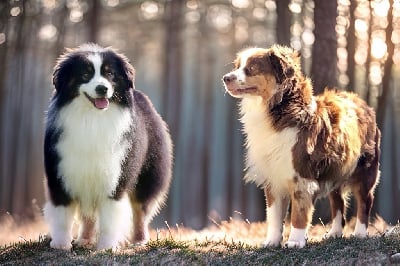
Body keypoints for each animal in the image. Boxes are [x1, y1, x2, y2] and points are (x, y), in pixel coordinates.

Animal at [43, 43, 172, 249]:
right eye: (85, 74)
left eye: (110, 73)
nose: (102, 88)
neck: (92, 118)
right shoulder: (60, 173)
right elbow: (62, 213)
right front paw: (61, 244)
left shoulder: (115, 177)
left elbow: (110, 216)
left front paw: (106, 246)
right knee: (89, 214)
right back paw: (85, 240)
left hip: (149, 174)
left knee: (140, 210)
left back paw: (139, 240)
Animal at [222, 45, 382, 247]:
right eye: (237, 66)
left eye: (251, 68)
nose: (226, 78)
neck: (280, 111)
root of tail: (362, 103)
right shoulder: (273, 175)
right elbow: (274, 215)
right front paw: (272, 242)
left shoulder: (301, 175)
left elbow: (298, 212)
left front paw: (295, 241)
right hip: (335, 169)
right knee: (337, 201)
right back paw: (334, 233)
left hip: (365, 169)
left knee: (365, 200)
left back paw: (360, 233)